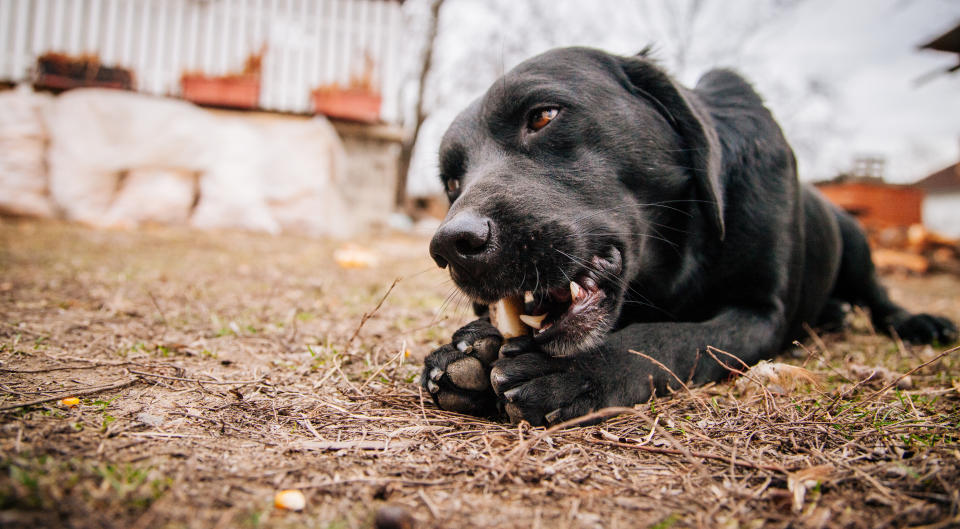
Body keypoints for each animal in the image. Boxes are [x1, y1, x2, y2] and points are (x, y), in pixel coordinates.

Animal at [422, 46, 960, 424]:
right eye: (451, 182)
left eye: (543, 116)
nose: (449, 246)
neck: (685, 252)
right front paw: (473, 349)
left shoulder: (760, 314)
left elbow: (677, 339)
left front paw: (582, 373)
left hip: (857, 247)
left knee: (880, 298)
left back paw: (918, 322)